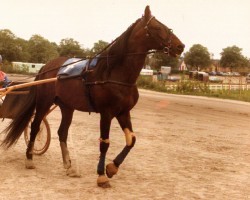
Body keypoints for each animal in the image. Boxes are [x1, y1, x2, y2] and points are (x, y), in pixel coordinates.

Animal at [0, 5, 185, 188]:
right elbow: (105, 143)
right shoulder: (106, 113)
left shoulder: (123, 112)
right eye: (157, 27)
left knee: (62, 132)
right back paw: (29, 159)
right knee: (35, 127)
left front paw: (112, 168)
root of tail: (46, 67)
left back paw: (68, 165)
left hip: (67, 106)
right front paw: (102, 175)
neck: (113, 73)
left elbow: (131, 140)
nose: (180, 46)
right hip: (44, 103)